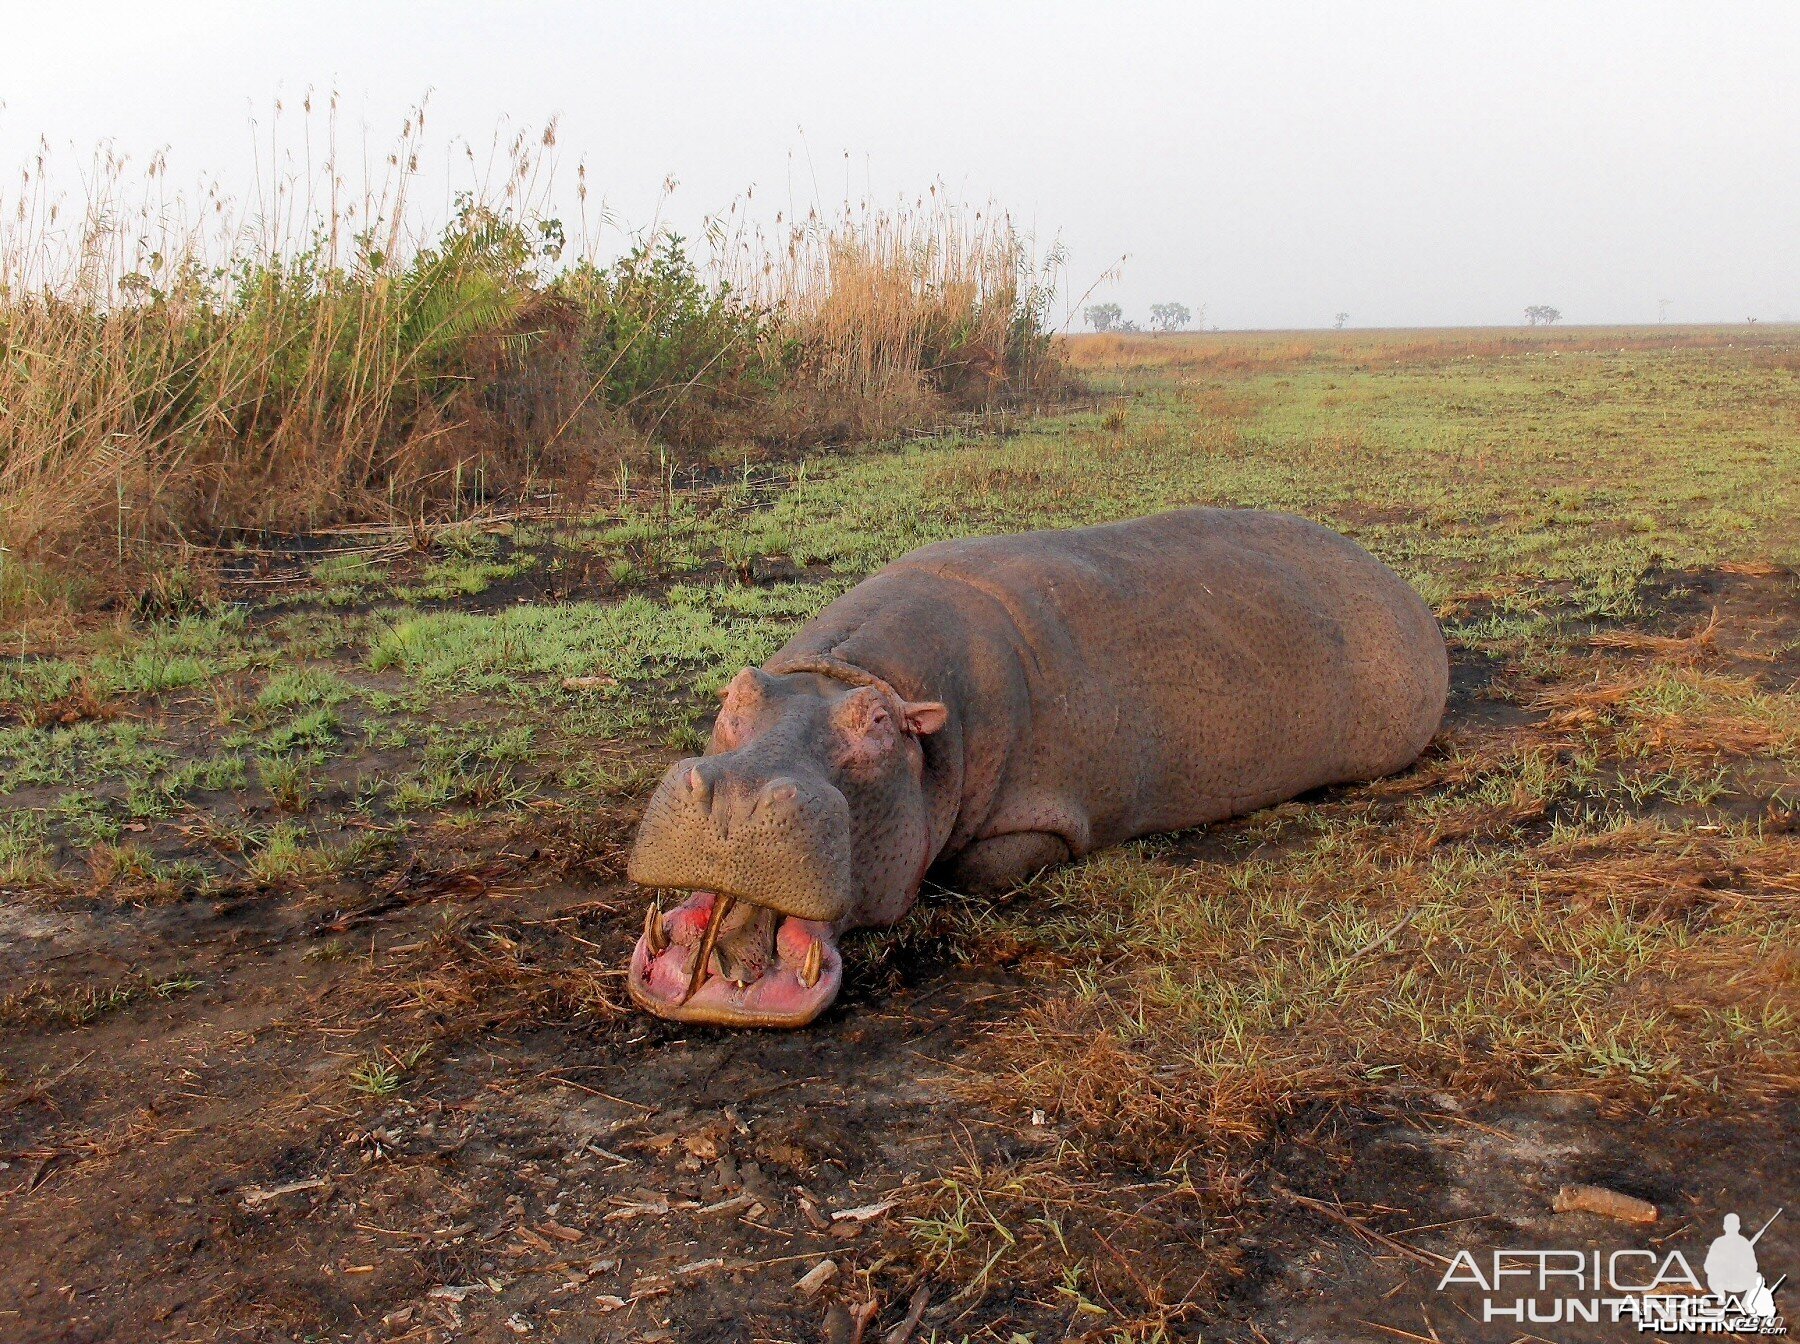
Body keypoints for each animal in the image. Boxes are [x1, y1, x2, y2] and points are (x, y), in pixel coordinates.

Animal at [626, 507, 1440, 1029]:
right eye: (738, 692)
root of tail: (1396, 580)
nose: (738, 793)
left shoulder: (1042, 816)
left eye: (879, 725)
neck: (854, 675)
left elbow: (978, 866)